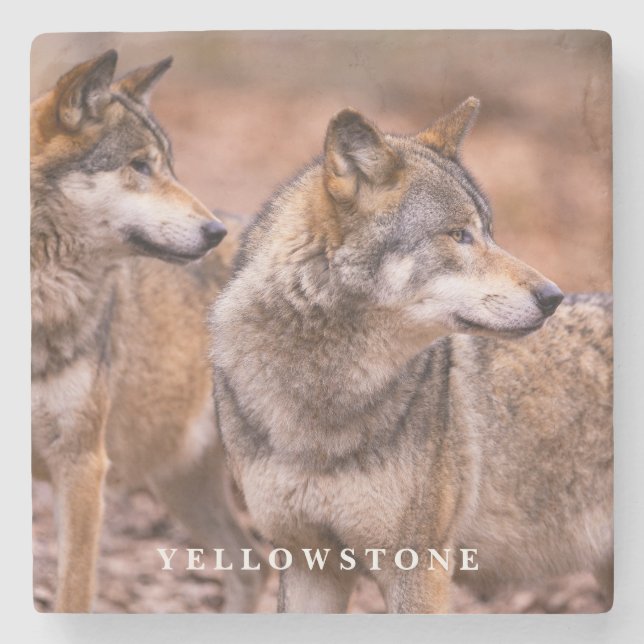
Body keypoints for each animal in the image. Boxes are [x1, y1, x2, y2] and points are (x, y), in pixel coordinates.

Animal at [31, 51, 267, 612]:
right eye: (140, 166)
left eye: (170, 165)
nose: (214, 231)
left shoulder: (81, 466)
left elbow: (74, 594)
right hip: (182, 486)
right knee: (254, 565)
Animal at [211, 99, 613, 613]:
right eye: (459, 235)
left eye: (489, 233)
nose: (552, 297)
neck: (319, 402)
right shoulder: (307, 562)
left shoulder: (418, 567)